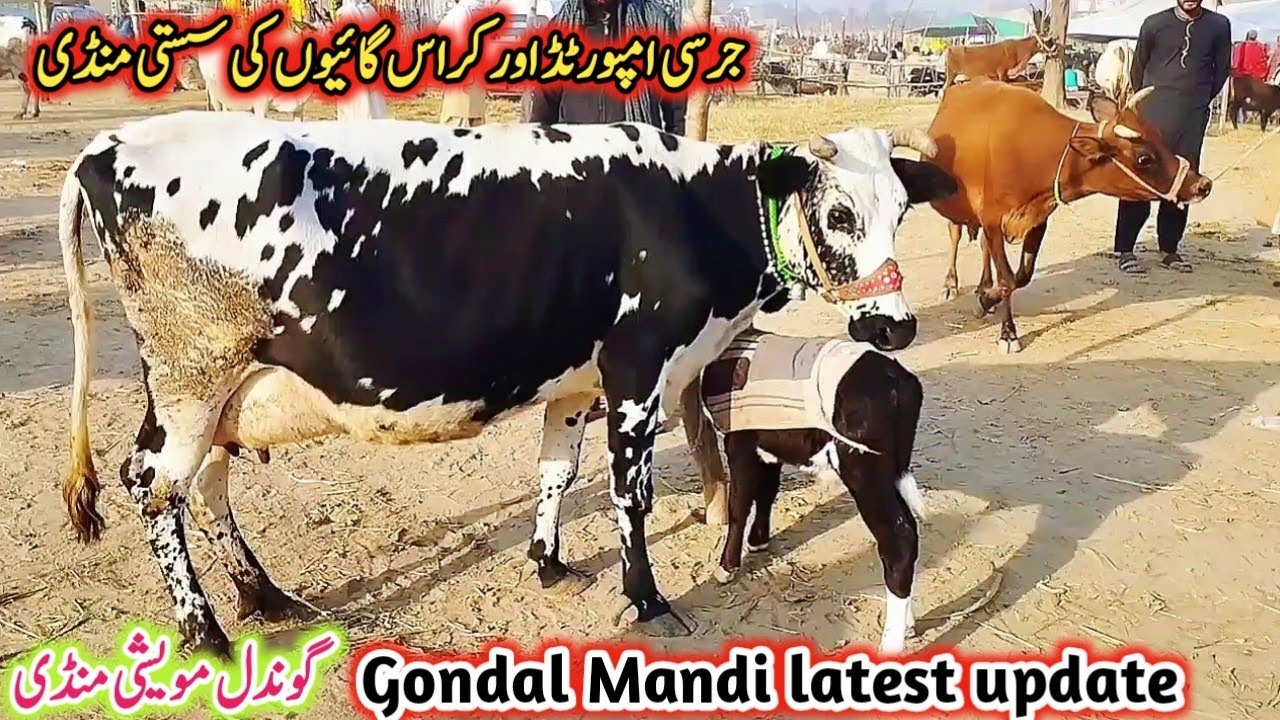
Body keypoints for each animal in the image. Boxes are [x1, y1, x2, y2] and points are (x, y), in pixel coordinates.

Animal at [685, 329, 925, 655]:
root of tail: (898, 379)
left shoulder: (740, 442)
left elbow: (740, 504)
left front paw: (726, 567)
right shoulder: (769, 445)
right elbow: (766, 492)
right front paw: (758, 541)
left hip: (863, 468)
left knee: (899, 541)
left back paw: (890, 643)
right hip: (892, 470)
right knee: (908, 530)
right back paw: (908, 623)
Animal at [926, 78, 1213, 353]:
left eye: (1161, 137)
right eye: (1144, 158)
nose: (1203, 185)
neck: (1032, 153)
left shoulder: (1037, 220)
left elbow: (1022, 275)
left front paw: (986, 299)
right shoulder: (993, 220)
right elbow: (1007, 278)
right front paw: (1007, 332)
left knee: (985, 249)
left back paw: (983, 286)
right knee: (955, 234)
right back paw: (950, 284)